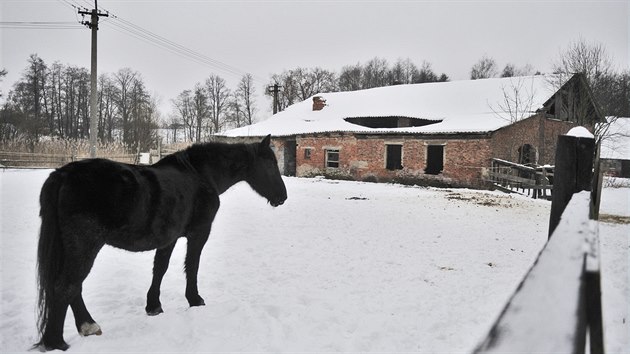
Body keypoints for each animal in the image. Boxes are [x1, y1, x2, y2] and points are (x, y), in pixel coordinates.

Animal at [35, 136, 288, 352]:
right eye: (270, 164)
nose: (283, 197)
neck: (201, 175)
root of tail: (63, 174)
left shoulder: (169, 238)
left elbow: (160, 269)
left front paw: (153, 306)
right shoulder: (199, 233)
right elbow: (192, 266)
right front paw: (195, 300)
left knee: (73, 287)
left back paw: (88, 326)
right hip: (84, 246)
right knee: (66, 287)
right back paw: (56, 342)